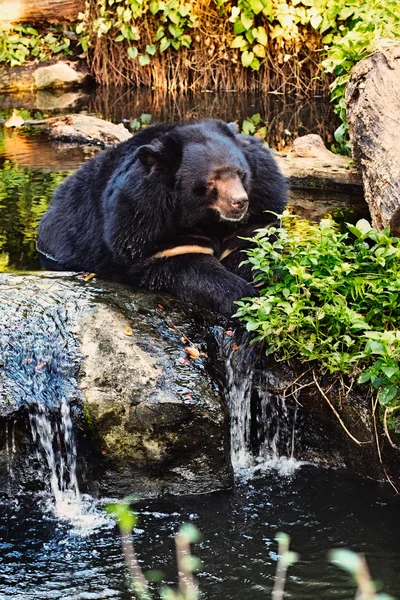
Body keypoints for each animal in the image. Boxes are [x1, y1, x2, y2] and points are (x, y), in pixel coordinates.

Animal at [37, 119, 288, 316]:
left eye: (241, 174)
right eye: (211, 181)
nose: (240, 202)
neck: (206, 218)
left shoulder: (262, 198)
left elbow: (251, 243)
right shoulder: (143, 219)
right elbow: (185, 263)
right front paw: (241, 295)